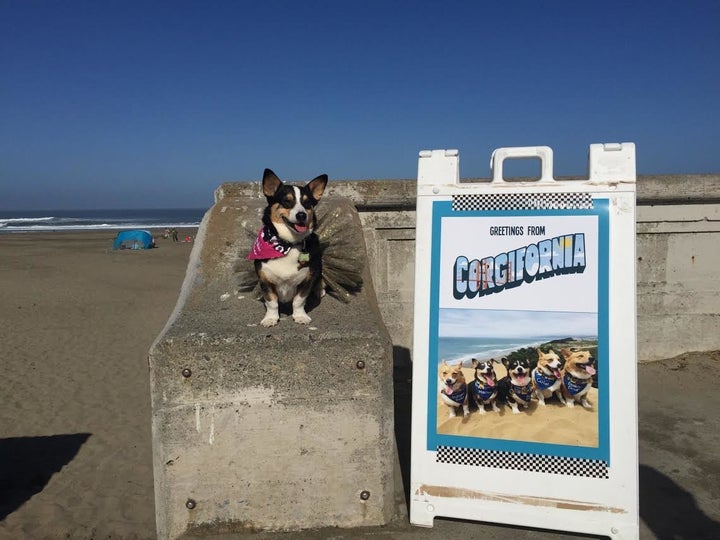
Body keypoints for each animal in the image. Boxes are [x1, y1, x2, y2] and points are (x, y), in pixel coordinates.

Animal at [248, 169, 326, 326]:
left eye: (307, 203)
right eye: (286, 201)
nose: (301, 215)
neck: (288, 244)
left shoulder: (307, 279)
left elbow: (299, 301)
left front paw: (300, 316)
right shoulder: (265, 280)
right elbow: (272, 302)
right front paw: (270, 318)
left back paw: (320, 289)